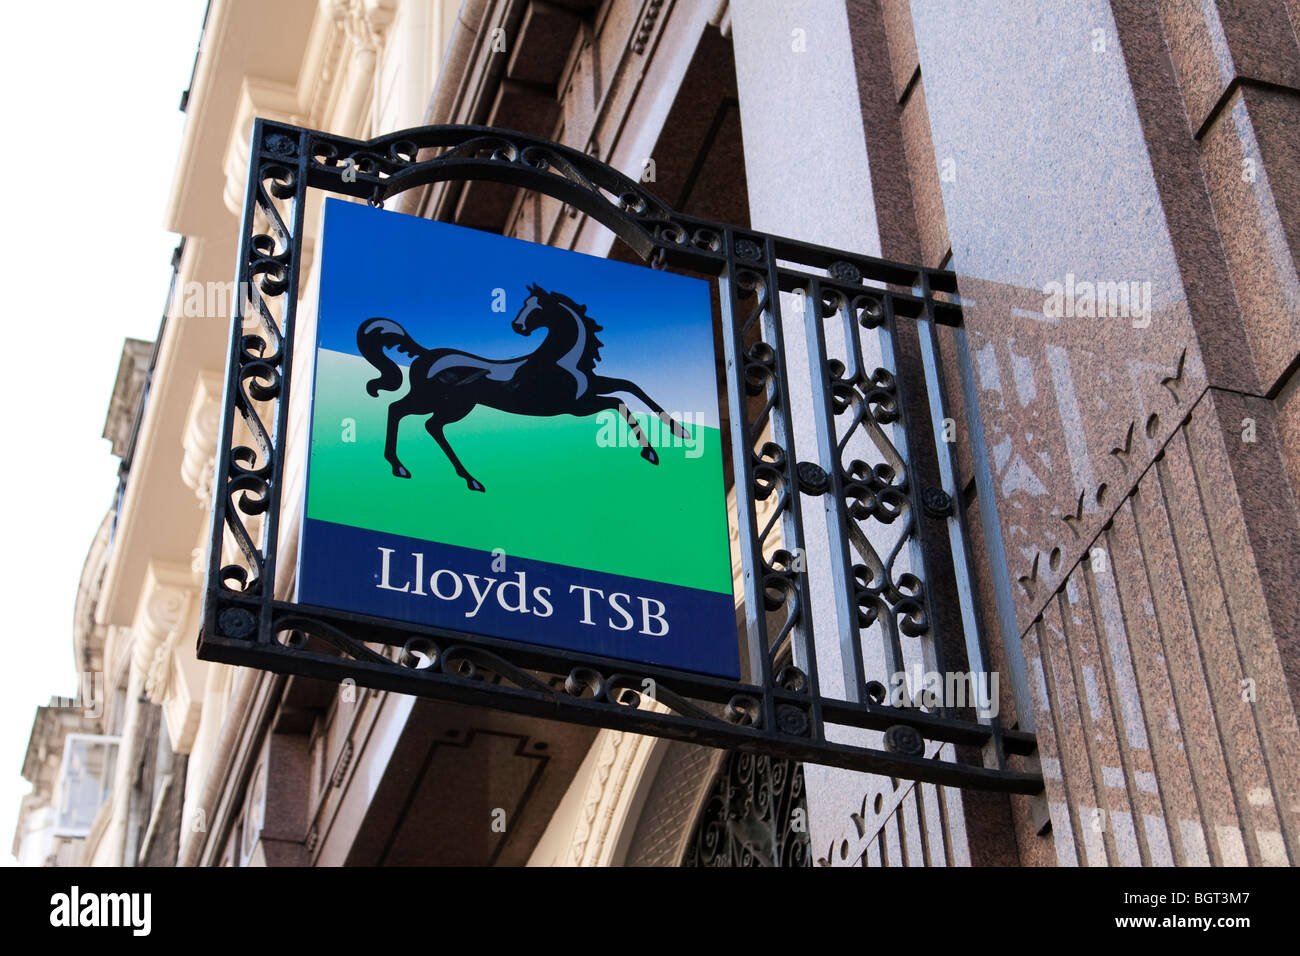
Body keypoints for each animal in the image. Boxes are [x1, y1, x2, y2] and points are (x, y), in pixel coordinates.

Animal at [351, 283, 686, 494]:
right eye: (526, 306)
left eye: (537, 308)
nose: (517, 326)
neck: (560, 360)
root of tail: (424, 354)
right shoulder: (575, 406)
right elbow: (618, 402)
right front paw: (651, 452)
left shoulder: (590, 388)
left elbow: (630, 386)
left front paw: (680, 431)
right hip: (445, 403)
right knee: (405, 414)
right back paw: (423, 471)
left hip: (443, 403)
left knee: (419, 420)